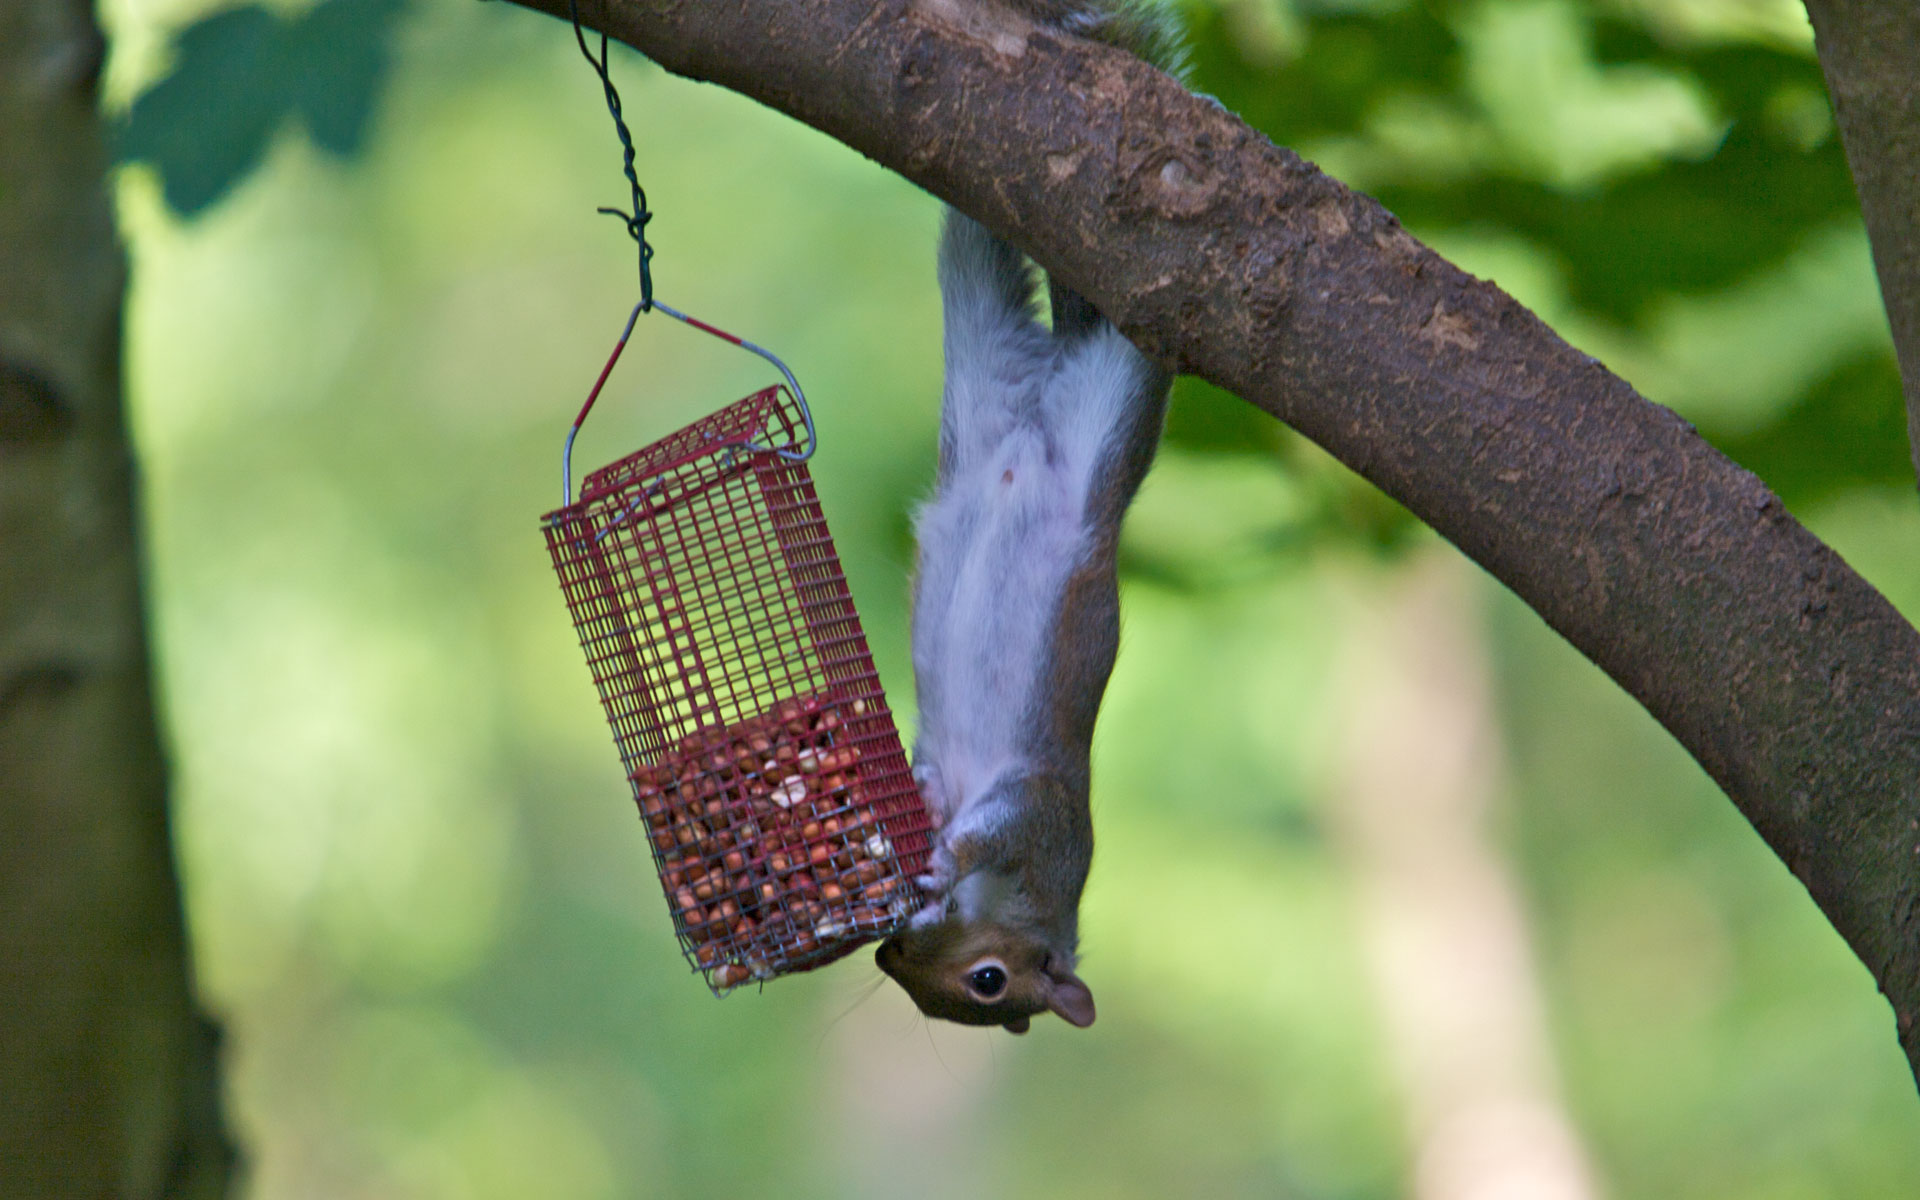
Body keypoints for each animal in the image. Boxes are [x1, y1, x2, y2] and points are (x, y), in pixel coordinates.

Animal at [874, 0, 1183, 1033]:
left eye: (980, 989)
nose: (888, 951)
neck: (1036, 898)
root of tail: (1034, 416)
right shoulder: (1047, 821)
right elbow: (988, 828)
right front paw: (940, 847)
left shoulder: (1029, 809)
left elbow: (972, 814)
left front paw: (932, 826)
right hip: (1117, 389)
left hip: (990, 359)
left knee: (976, 239)